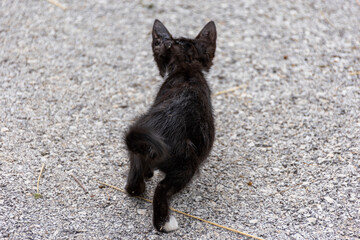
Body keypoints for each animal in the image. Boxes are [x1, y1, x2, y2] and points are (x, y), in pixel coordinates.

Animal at [125, 19, 215, 232]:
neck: (186, 69)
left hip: (136, 148)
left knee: (133, 185)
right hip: (187, 163)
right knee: (162, 188)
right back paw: (165, 223)